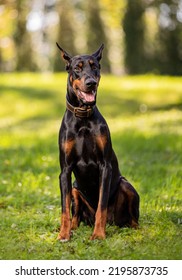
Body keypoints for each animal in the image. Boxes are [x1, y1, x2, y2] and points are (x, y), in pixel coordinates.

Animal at [56, 43, 139, 241]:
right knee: (76, 215)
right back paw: (73, 228)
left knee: (132, 219)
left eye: (95, 67)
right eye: (77, 68)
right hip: (75, 189)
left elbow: (102, 205)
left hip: (126, 185)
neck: (83, 119)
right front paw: (63, 234)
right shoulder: (65, 170)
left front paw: (98, 235)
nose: (91, 82)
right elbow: (65, 209)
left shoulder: (105, 166)